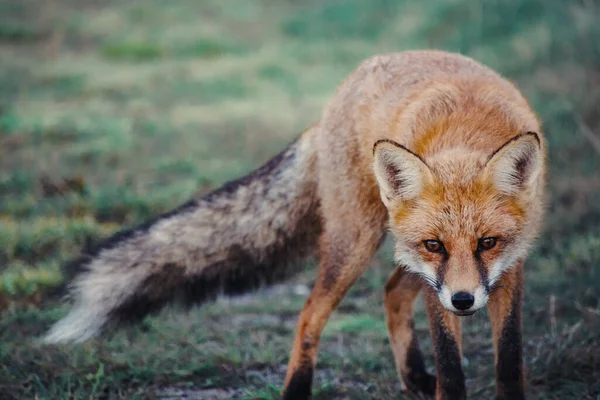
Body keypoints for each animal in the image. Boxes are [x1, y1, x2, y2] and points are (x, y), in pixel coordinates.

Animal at [44, 50, 548, 400]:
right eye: (435, 244)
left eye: (487, 242)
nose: (463, 301)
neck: (463, 128)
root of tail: (331, 104)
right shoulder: (434, 278)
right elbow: (452, 368)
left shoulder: (510, 267)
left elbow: (509, 361)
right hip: (356, 244)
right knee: (311, 313)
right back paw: (298, 389)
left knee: (390, 291)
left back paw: (413, 378)